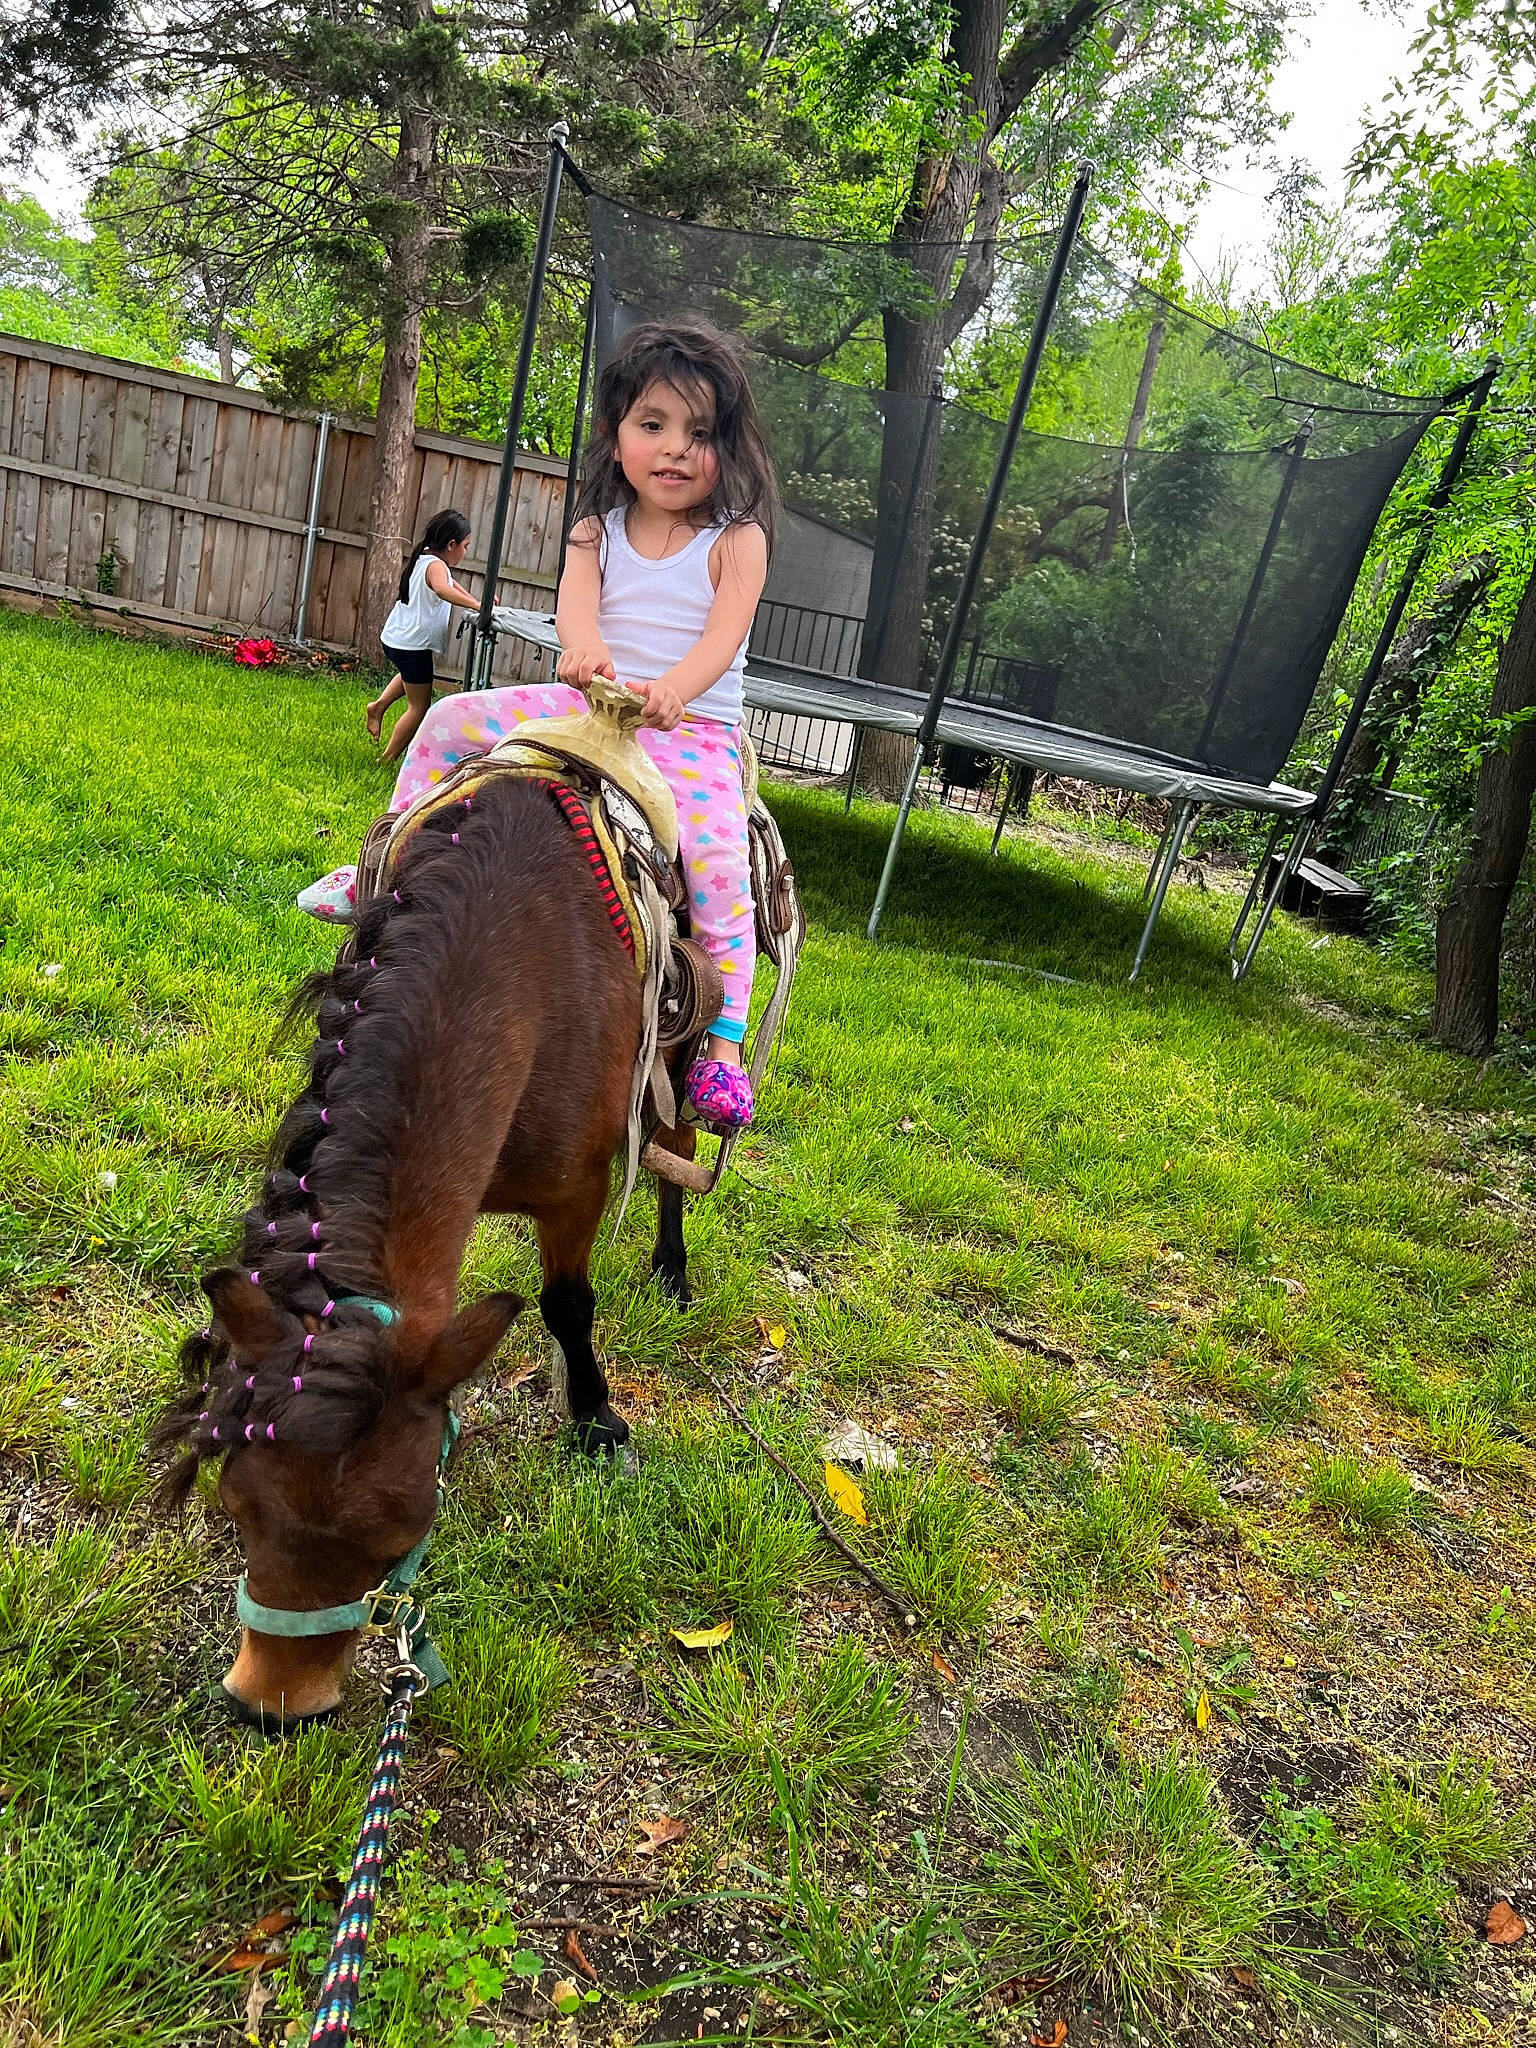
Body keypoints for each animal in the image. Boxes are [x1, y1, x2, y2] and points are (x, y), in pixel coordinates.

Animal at [156, 773, 696, 1729]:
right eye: (235, 1508)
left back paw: (672, 1262)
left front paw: (596, 1421)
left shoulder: (578, 1189)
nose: (273, 1706)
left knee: (681, 1147)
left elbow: (567, 1304)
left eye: (400, 1533)